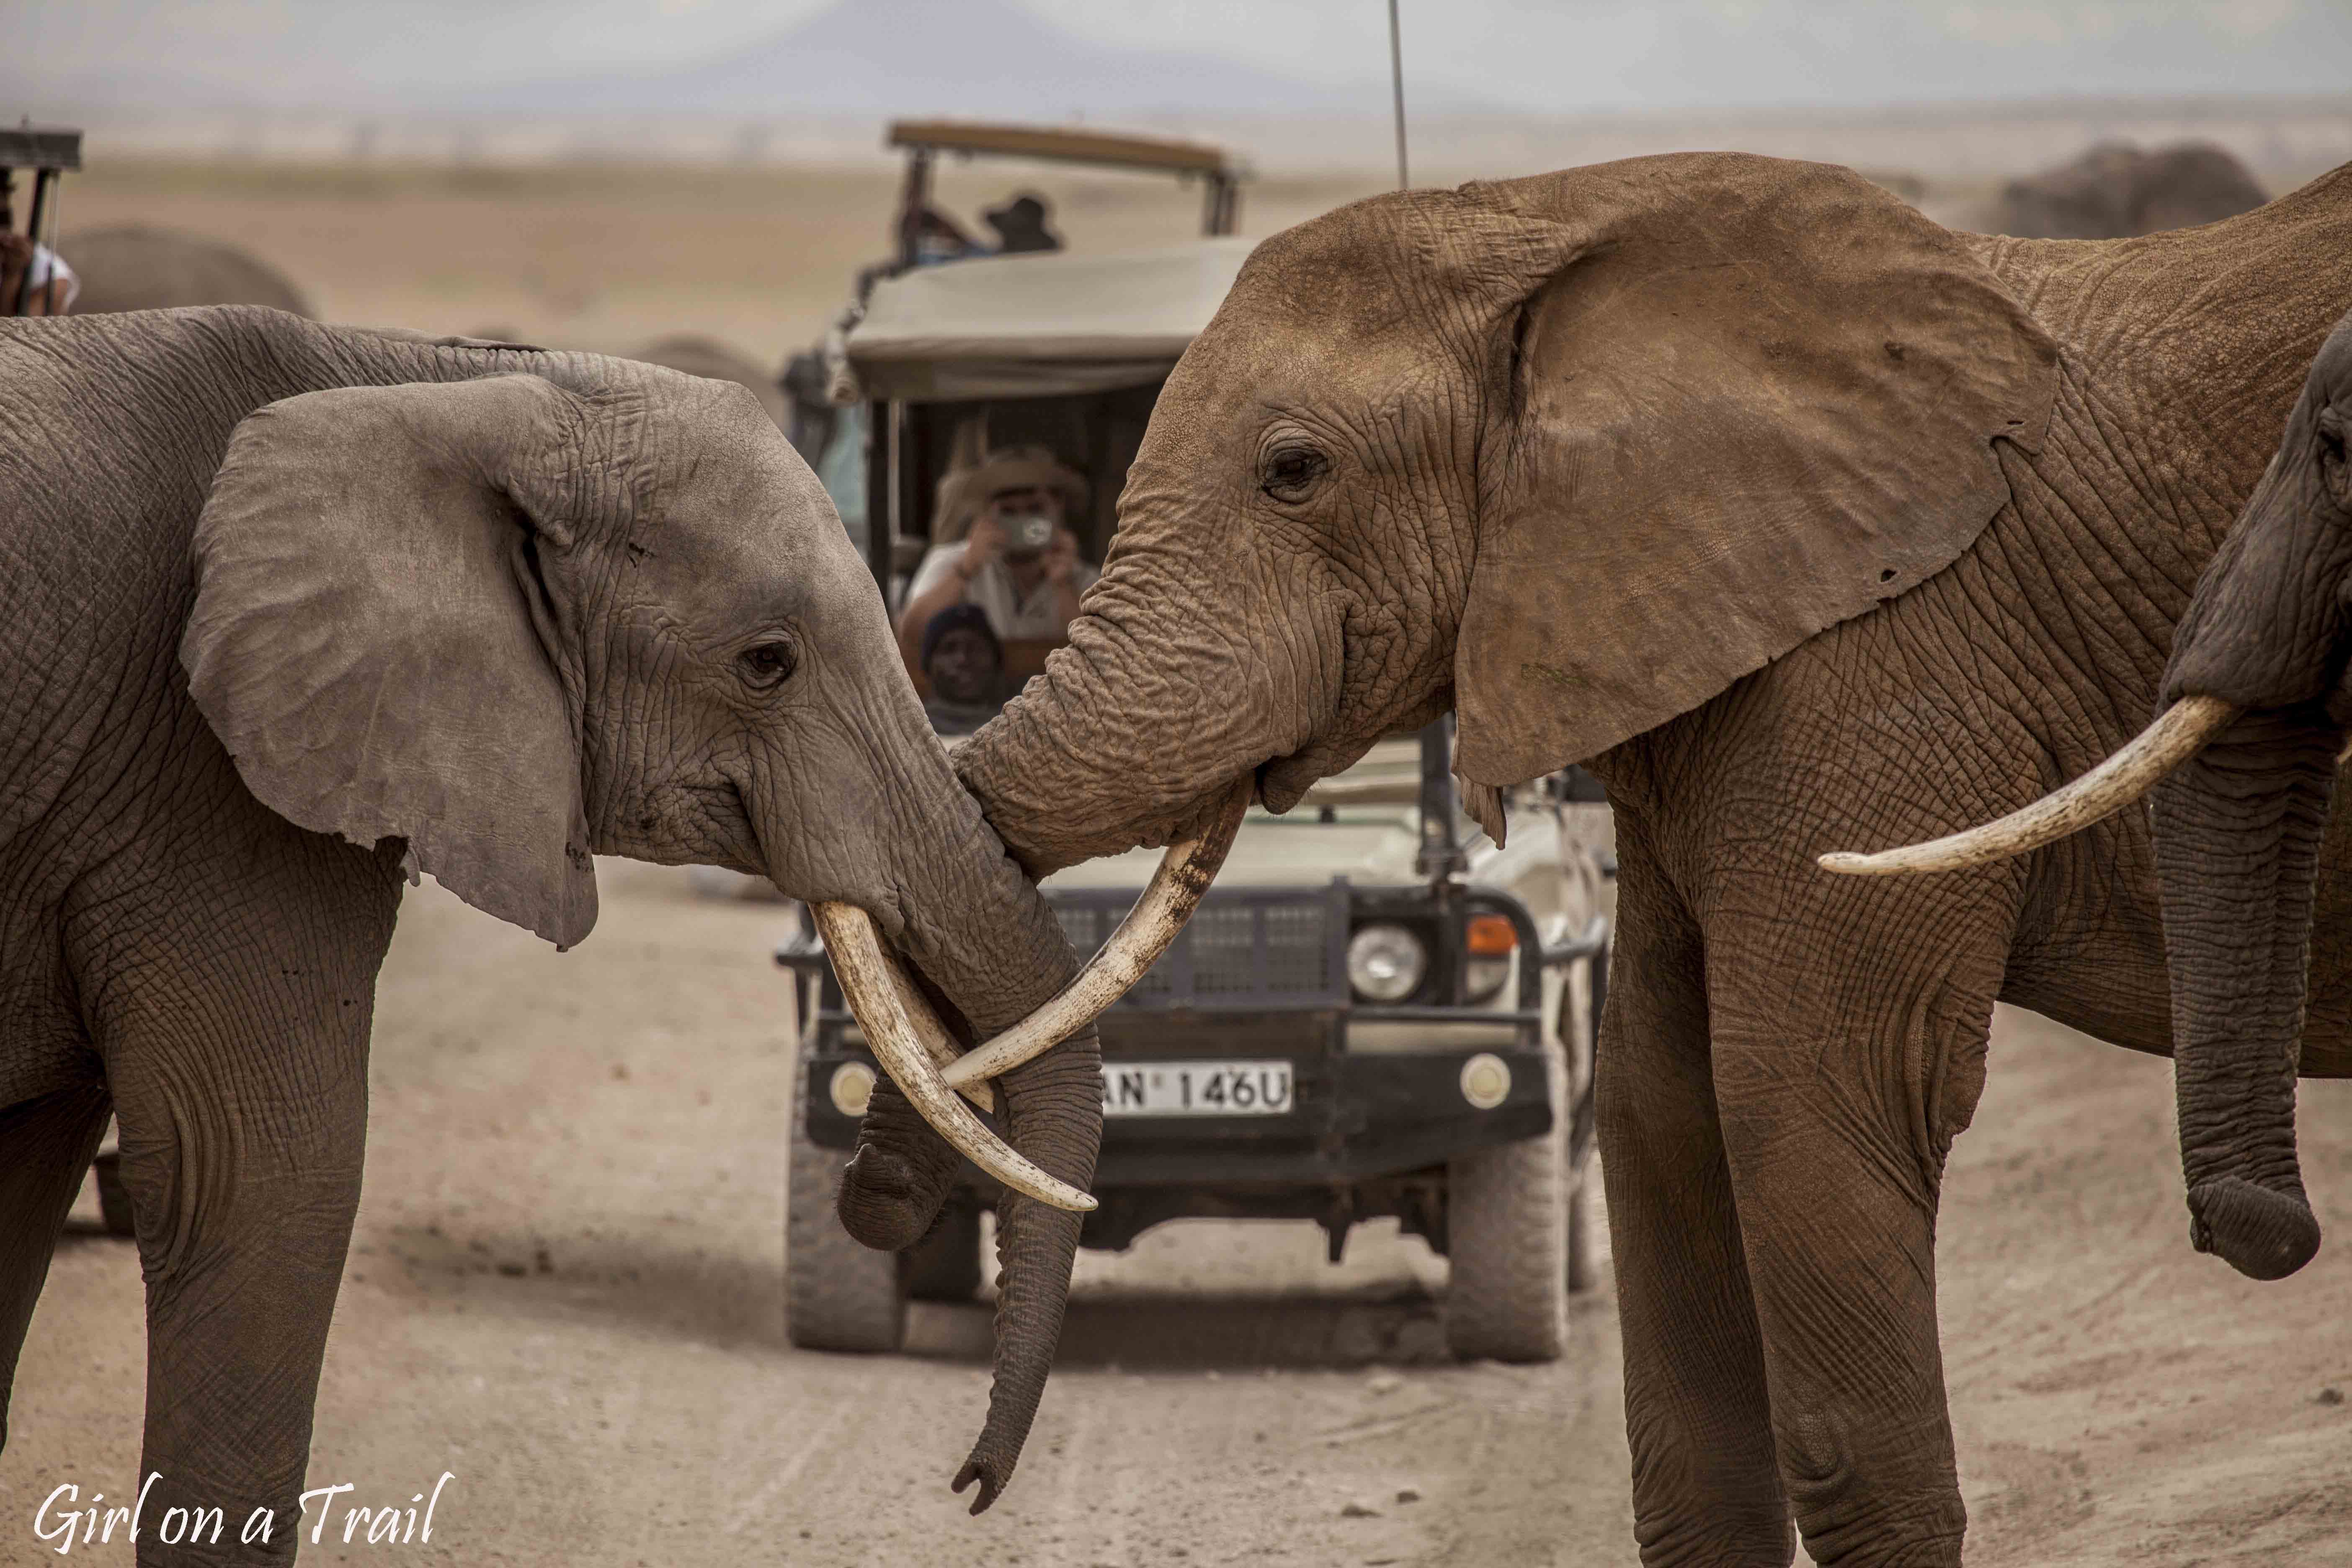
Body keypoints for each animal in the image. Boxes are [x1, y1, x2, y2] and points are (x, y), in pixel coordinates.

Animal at [823, 150, 2352, 1568]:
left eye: (1294, 471)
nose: (970, 1484)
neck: (1550, 218)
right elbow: (1660, 1112)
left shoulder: (1885, 662)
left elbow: (1810, 1096)